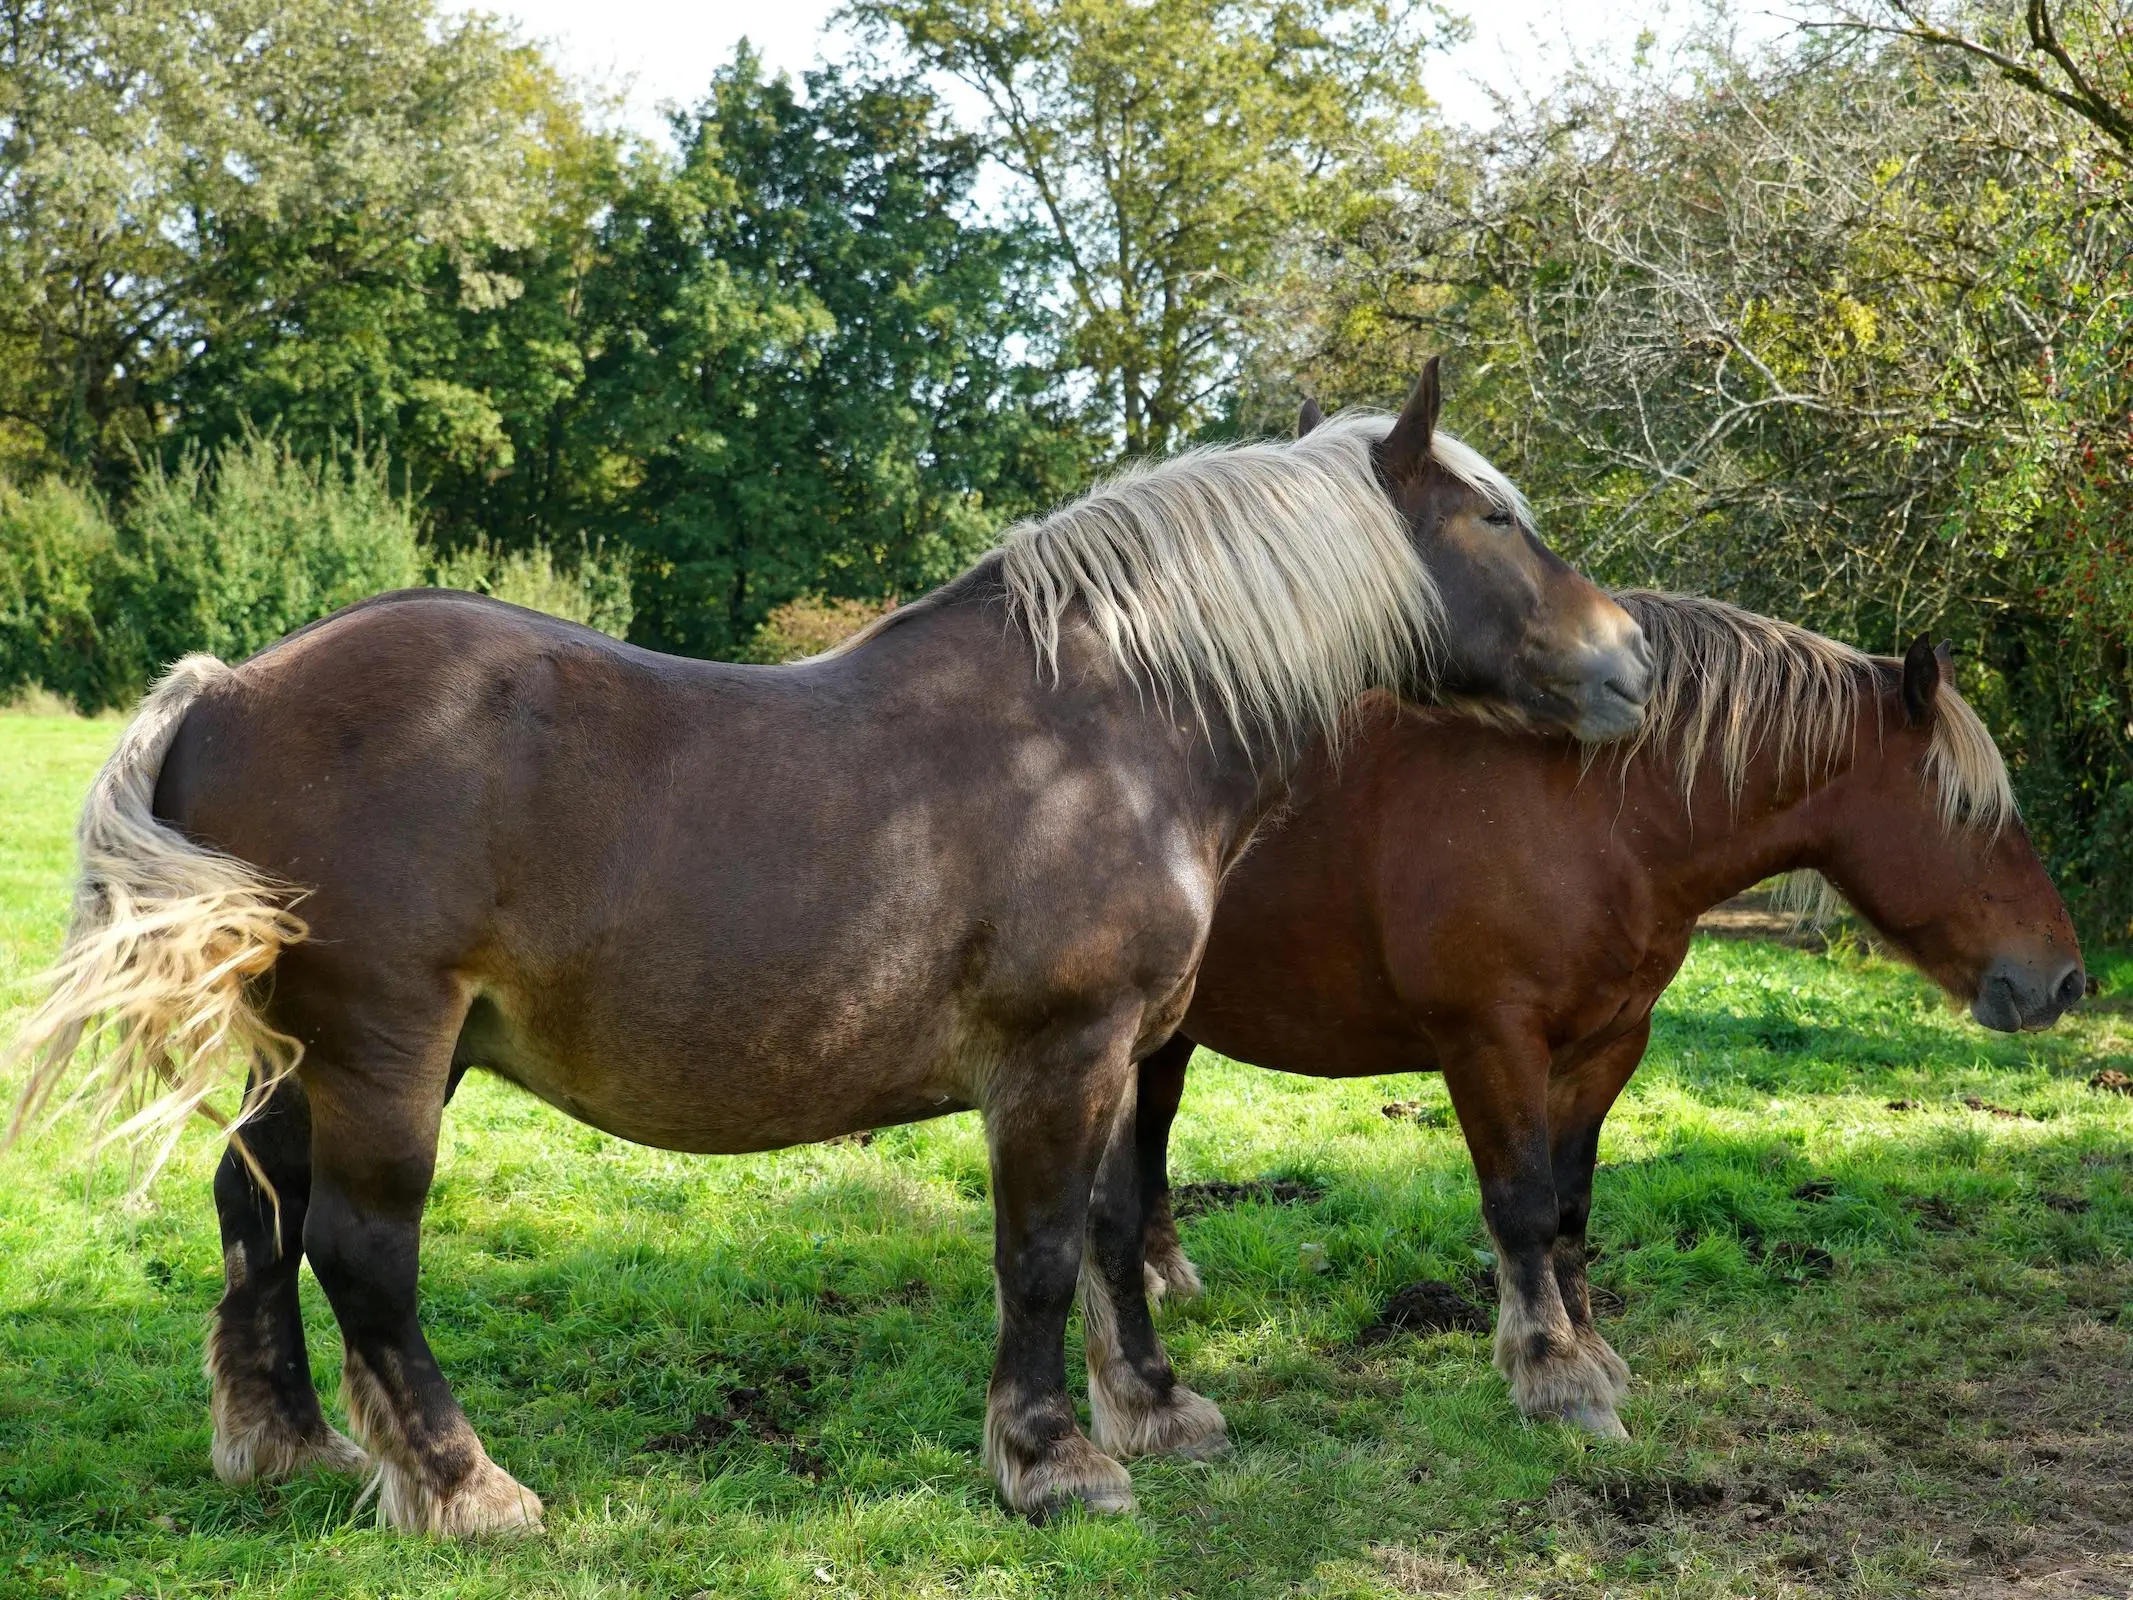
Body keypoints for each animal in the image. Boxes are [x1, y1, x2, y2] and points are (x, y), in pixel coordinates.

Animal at [8, 366, 1655, 1544]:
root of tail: (229, 688)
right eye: (1497, 521)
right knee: (362, 1246)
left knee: (257, 1203)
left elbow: (1118, 1227)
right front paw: (1053, 1461)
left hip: (316, 1051)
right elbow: (1041, 1252)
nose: (1631, 658)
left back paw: (286, 1442)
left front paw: (1154, 1407)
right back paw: (465, 1486)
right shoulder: (1059, 1056)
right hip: (387, 1051)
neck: (1107, 730)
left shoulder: (1126, 1054)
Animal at [1134, 593, 2081, 1442]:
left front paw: (1591, 1351)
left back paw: (1161, 1275)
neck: (1589, 817)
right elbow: (1520, 1205)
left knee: (1147, 1133)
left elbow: (1570, 1207)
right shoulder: (1490, 1043)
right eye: (1969, 811)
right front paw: (1553, 1376)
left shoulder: (1604, 1047)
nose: (2065, 981)